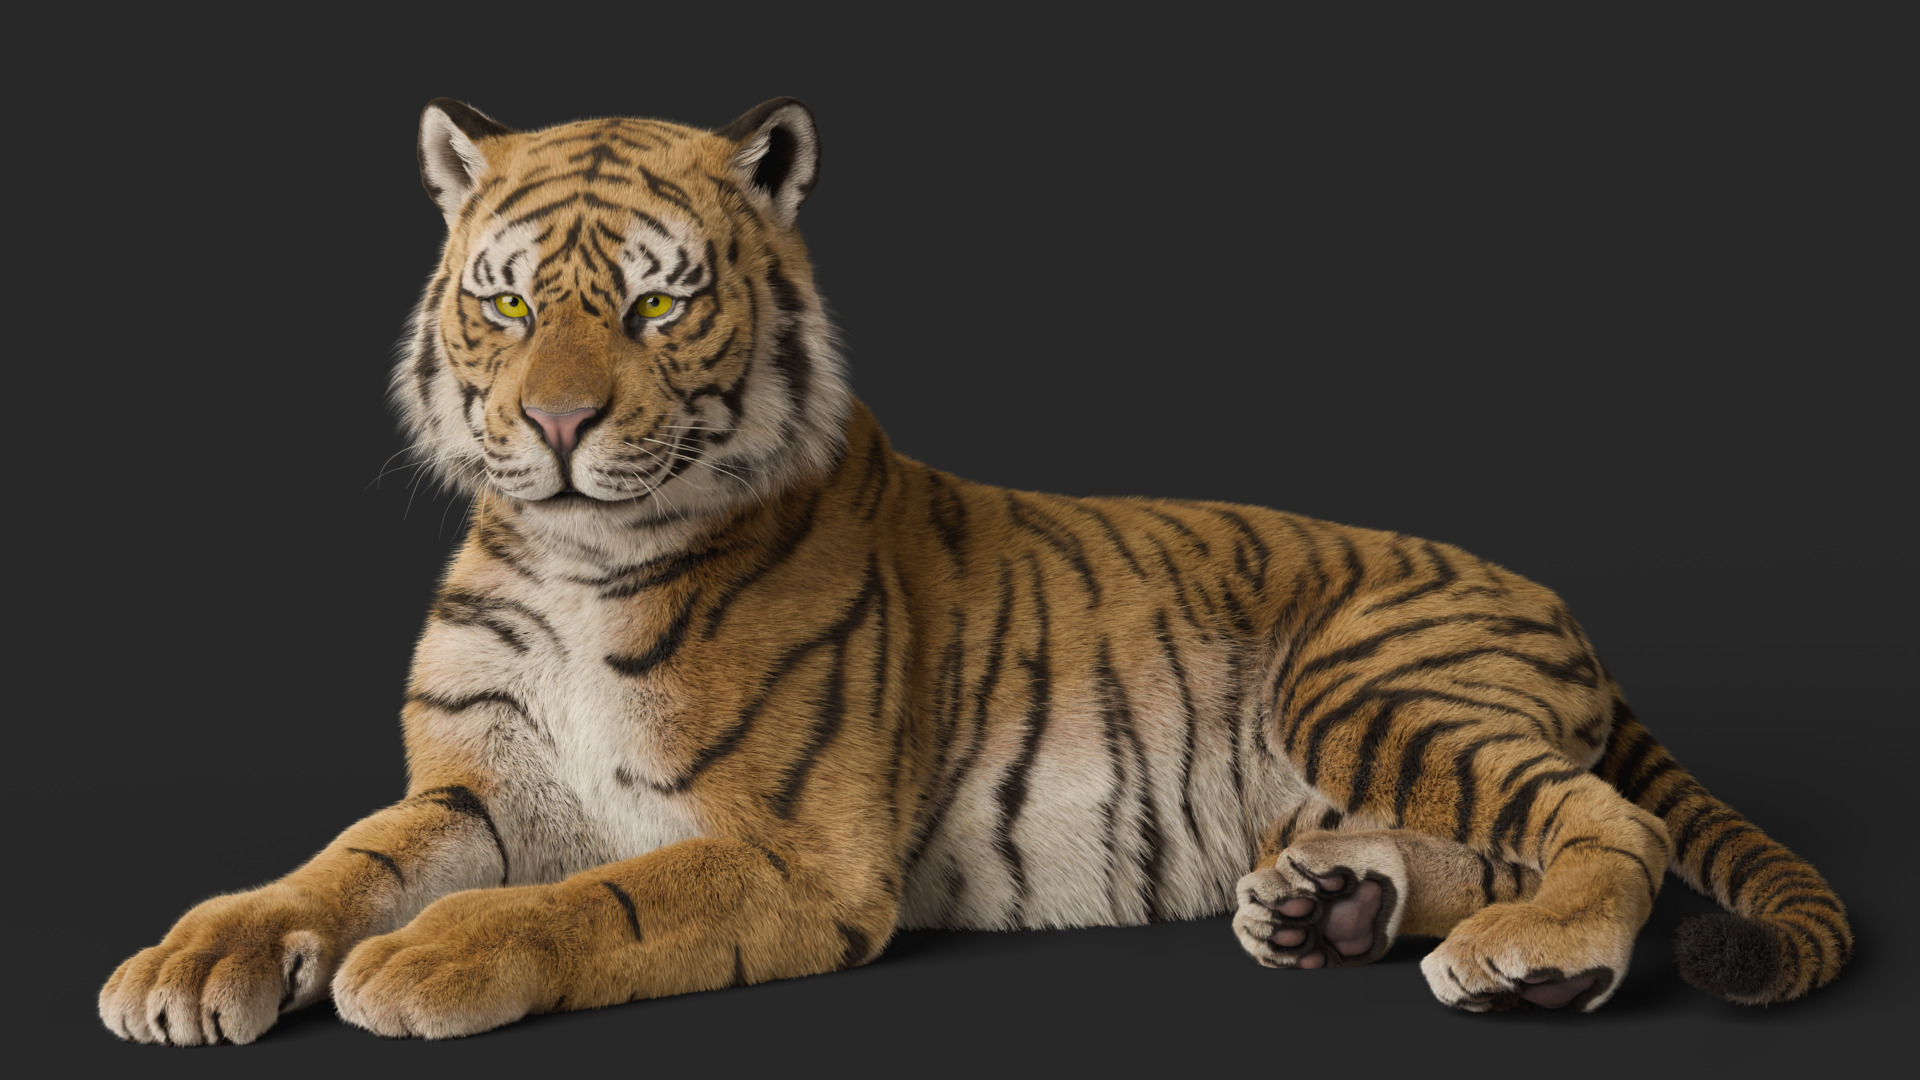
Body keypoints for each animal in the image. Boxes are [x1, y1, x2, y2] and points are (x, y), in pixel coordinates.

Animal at [98, 97, 1851, 1045]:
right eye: (512, 303)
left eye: (658, 306)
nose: (557, 425)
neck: (573, 557)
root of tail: (1562, 605)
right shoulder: (472, 786)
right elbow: (329, 863)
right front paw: (194, 959)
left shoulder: (793, 852)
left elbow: (597, 900)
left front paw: (422, 961)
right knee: (1491, 835)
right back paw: (1329, 908)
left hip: (1370, 680)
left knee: (1603, 823)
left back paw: (1535, 960)